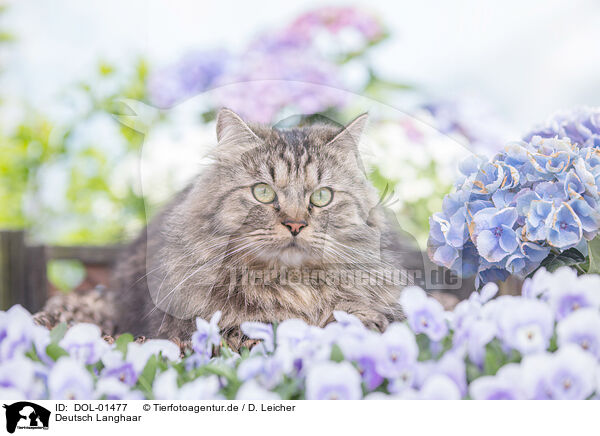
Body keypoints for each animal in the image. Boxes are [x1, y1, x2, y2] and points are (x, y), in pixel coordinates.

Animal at [110, 108, 424, 348]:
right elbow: (249, 330)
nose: (295, 224)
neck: (293, 286)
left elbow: (359, 317)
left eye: (322, 197)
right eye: (263, 192)